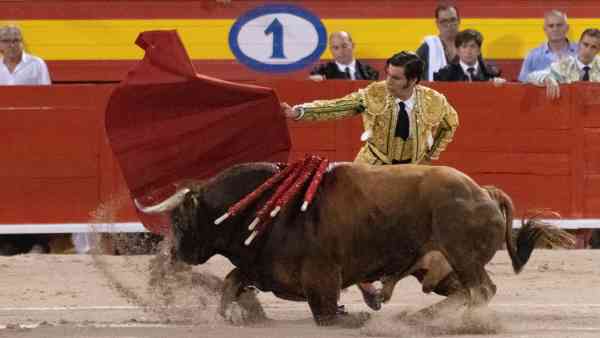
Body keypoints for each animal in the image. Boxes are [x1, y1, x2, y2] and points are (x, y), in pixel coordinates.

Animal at [136, 162, 572, 326]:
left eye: (180, 219)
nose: (175, 255)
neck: (265, 206)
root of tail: (483, 190)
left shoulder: (321, 275)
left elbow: (326, 314)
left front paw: (355, 316)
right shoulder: (258, 265)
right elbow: (229, 283)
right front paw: (231, 317)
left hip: (461, 256)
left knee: (480, 289)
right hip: (441, 266)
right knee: (469, 291)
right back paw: (421, 319)